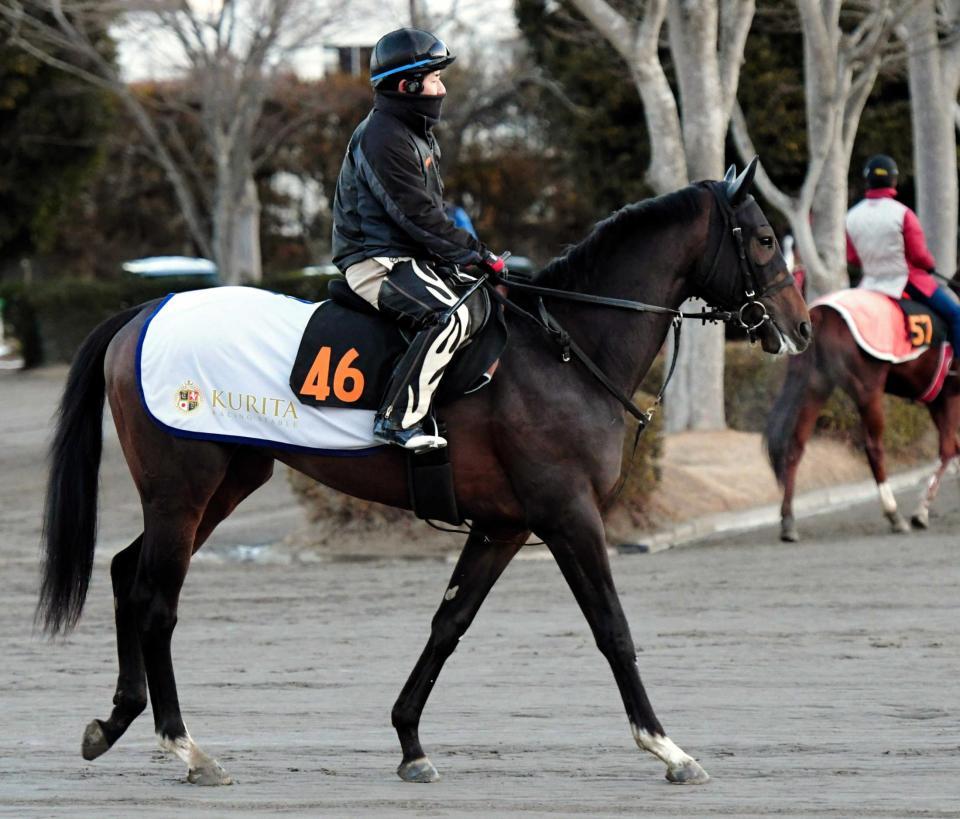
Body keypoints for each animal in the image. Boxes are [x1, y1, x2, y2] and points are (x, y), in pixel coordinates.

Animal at [38, 161, 810, 787]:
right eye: (763, 238)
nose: (801, 326)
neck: (562, 348)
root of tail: (146, 309)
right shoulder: (569, 515)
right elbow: (611, 627)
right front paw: (666, 746)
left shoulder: (503, 526)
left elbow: (450, 622)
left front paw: (410, 740)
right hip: (184, 490)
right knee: (156, 601)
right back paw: (186, 747)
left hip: (224, 484)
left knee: (125, 572)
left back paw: (115, 720)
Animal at [765, 300, 960, 541]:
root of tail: (821, 313)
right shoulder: (949, 395)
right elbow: (948, 449)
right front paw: (921, 512)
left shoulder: (937, 399)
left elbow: (953, 448)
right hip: (868, 391)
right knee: (873, 447)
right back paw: (894, 514)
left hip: (816, 386)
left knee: (795, 446)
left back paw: (788, 521)